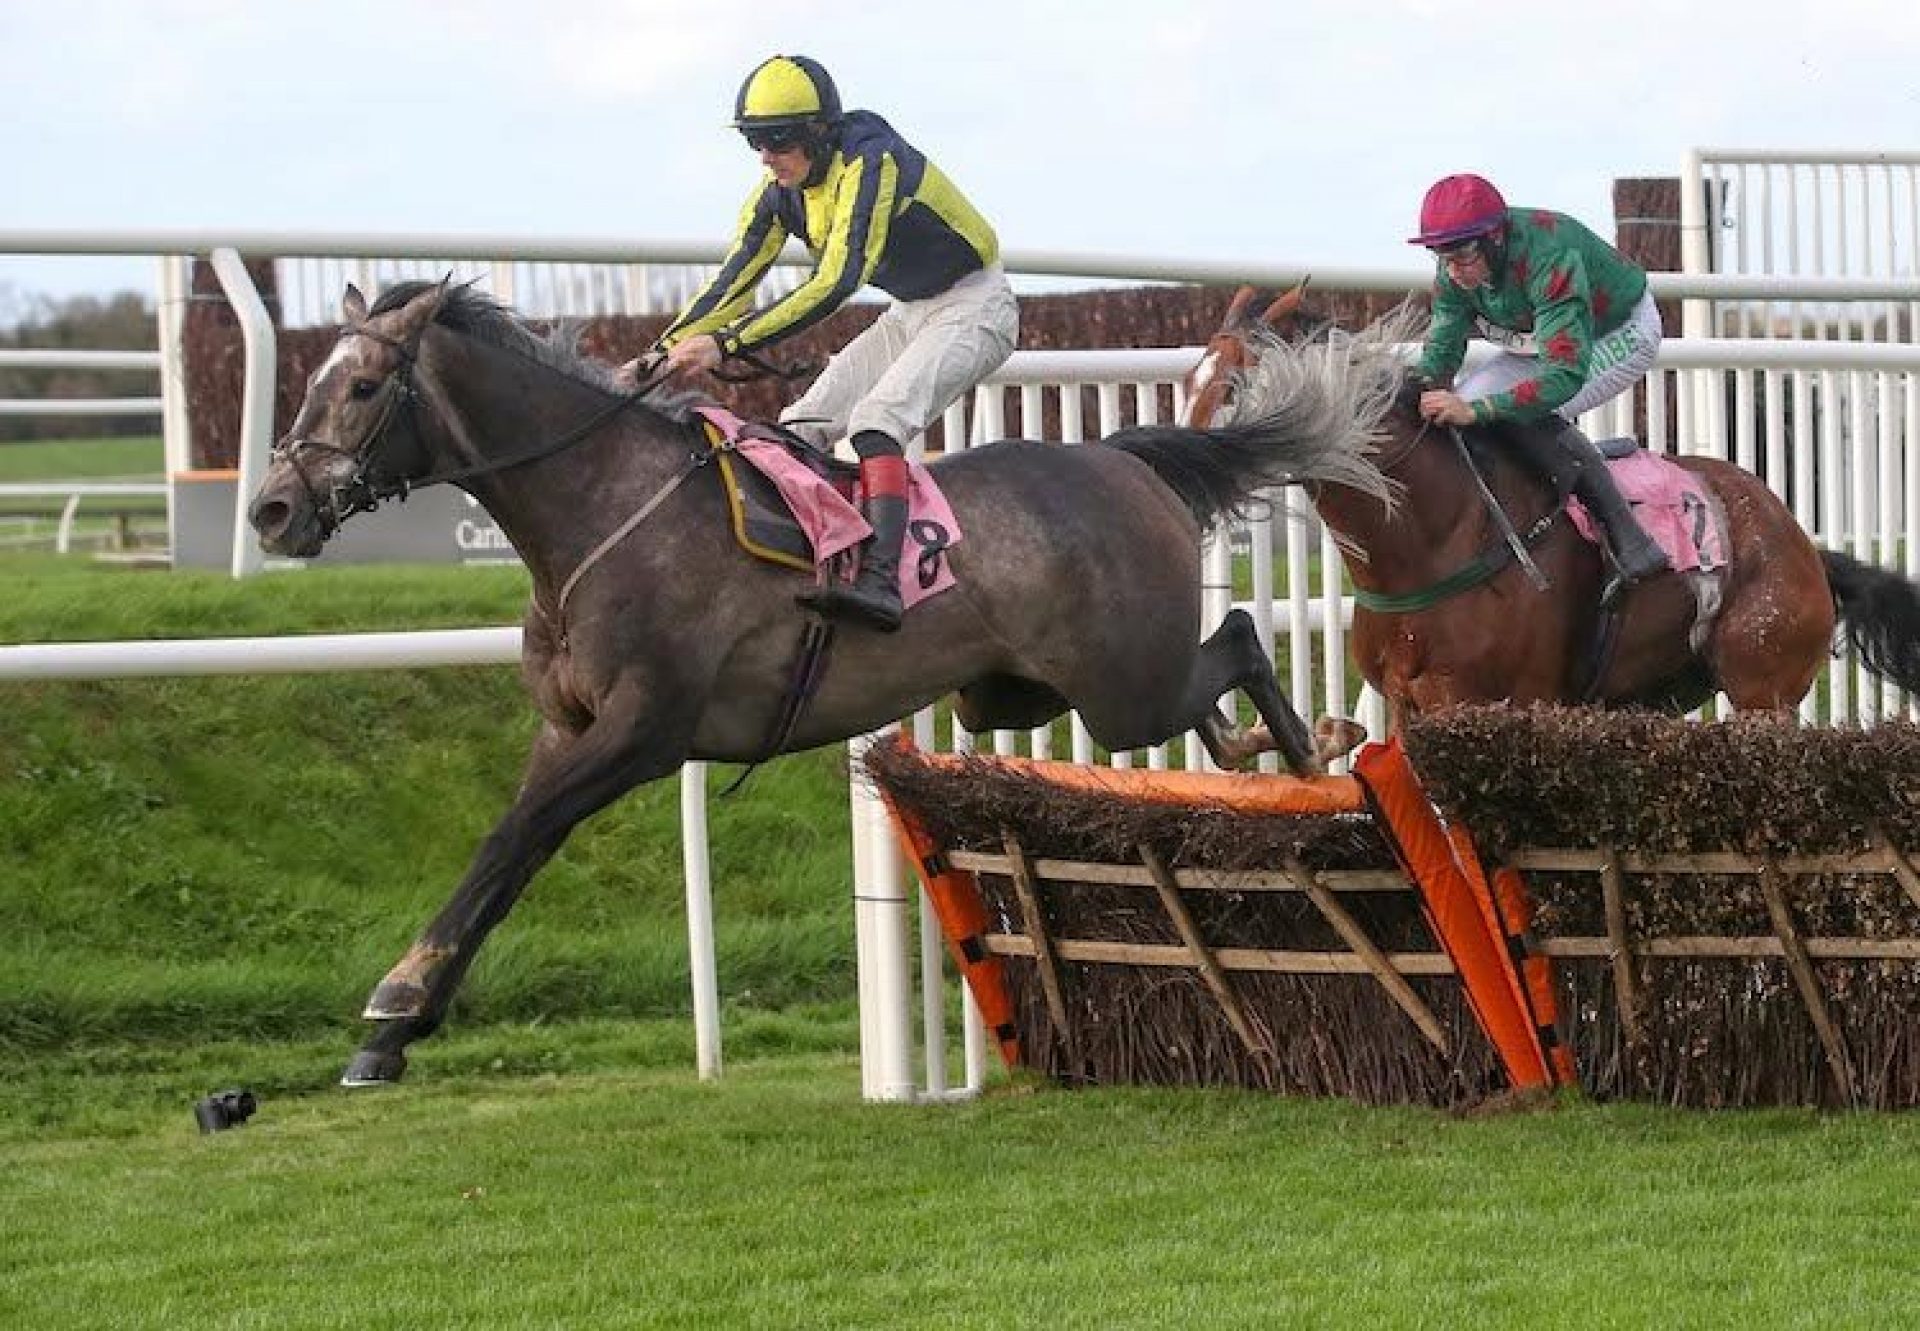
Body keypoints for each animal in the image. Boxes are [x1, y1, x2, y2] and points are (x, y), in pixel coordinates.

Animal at [255, 278, 1397, 1083]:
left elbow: (510, 837)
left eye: (362, 388)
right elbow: (510, 857)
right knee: (1207, 677)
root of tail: (1124, 457)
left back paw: (1306, 752)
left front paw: (394, 1000)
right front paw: (397, 1030)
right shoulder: (569, 729)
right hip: (1014, 690)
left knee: (1237, 636)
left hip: (1119, 684)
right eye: (310, 384)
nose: (272, 509)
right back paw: (1266, 751)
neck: (601, 505)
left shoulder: (643, 731)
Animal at [1175, 286, 1920, 726]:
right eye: (1190, 379)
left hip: (1763, 690)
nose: (1178, 467)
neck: (1431, 538)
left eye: (1234, 386)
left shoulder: (1504, 703)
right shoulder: (1411, 711)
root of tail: (1802, 543)